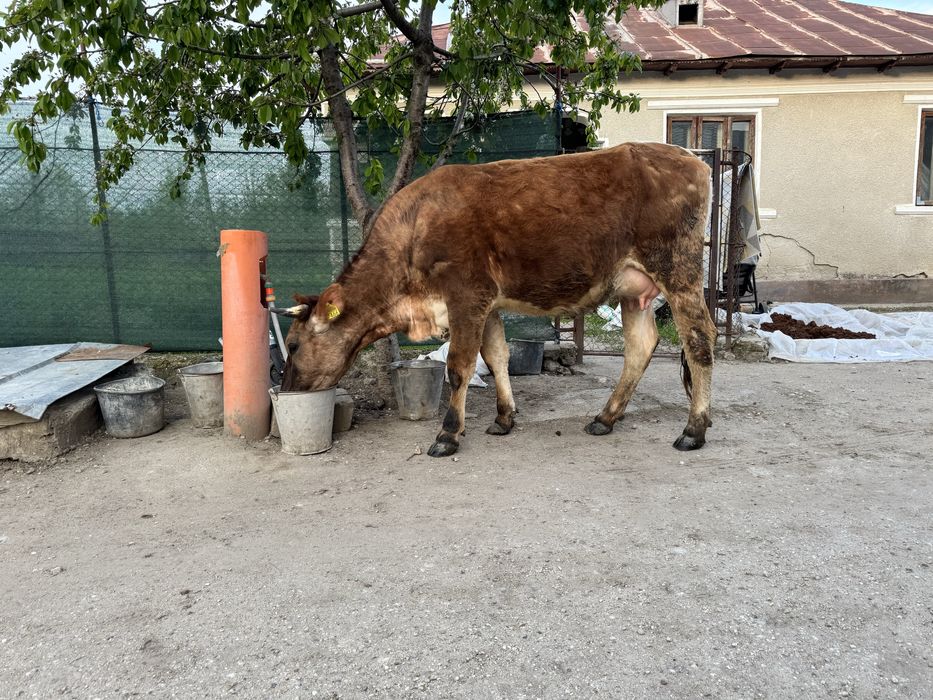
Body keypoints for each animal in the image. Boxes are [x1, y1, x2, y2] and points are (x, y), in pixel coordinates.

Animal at [274, 142, 716, 458]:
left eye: (293, 344)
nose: (288, 388)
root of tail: (692, 160)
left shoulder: (466, 296)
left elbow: (459, 368)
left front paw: (447, 434)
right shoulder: (487, 305)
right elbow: (496, 357)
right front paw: (505, 418)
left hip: (678, 270)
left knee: (699, 340)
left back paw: (693, 429)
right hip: (633, 289)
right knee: (640, 347)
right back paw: (605, 418)